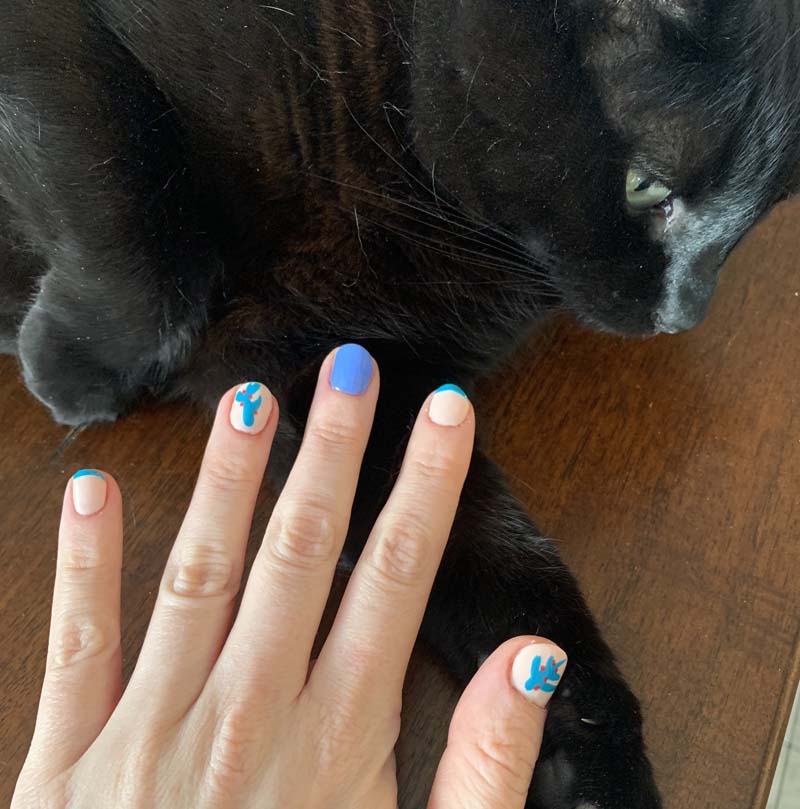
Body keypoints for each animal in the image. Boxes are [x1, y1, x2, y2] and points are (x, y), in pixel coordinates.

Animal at [1, 3, 800, 804]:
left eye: (753, 221)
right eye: (644, 186)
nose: (685, 312)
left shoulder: (359, 376)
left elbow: (502, 562)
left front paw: (593, 751)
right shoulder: (54, 46)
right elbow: (116, 203)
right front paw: (73, 367)